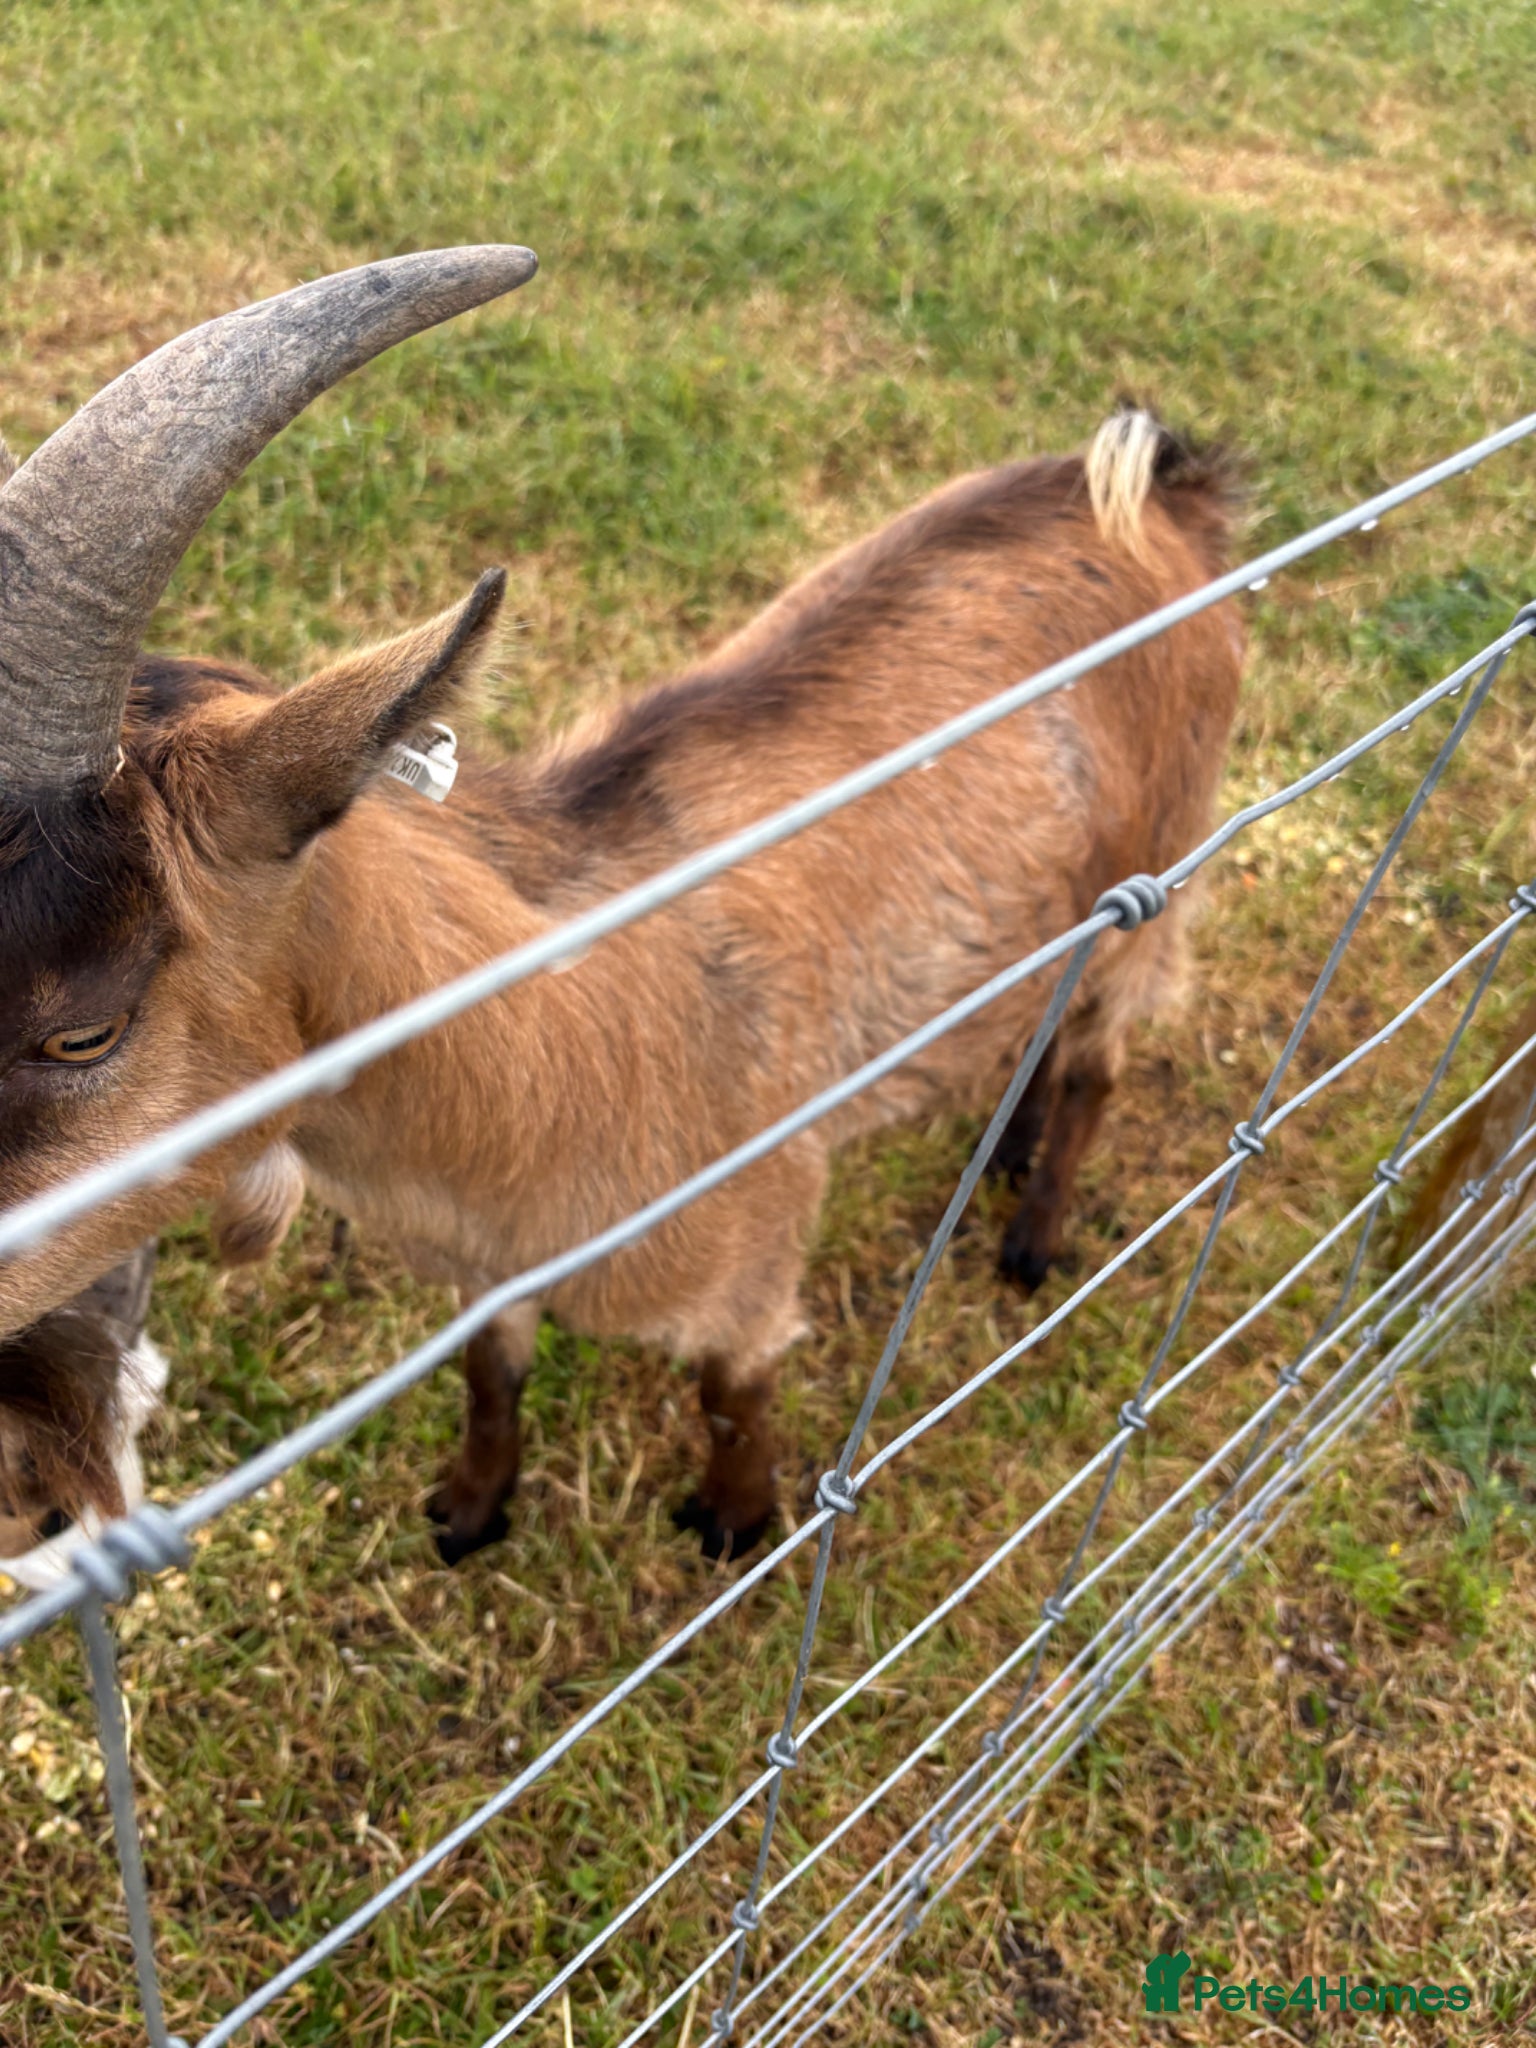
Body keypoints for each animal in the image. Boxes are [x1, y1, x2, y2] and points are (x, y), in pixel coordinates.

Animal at [0, 247, 1243, 1562]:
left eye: (84, 1029)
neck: (563, 1039)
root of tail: (1165, 491)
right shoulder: (488, 1274)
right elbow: (493, 1376)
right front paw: (469, 1513)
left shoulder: (752, 1251)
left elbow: (731, 1391)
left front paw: (734, 1523)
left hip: (1169, 861)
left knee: (1102, 1050)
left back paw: (1031, 1237)